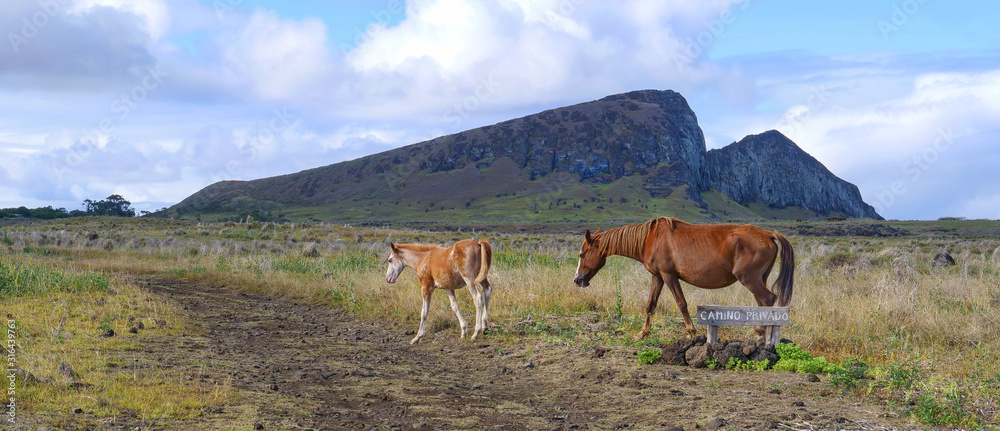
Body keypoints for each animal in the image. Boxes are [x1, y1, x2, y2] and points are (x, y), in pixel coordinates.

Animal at [576, 218, 792, 340]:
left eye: (582, 254)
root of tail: (768, 234)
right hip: (758, 279)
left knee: (768, 299)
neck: (650, 238)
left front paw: (691, 331)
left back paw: (761, 331)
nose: (577, 280)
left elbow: (681, 303)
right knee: (762, 301)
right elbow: (650, 304)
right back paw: (759, 330)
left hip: (749, 279)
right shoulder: (657, 277)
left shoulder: (669, 276)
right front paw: (643, 332)